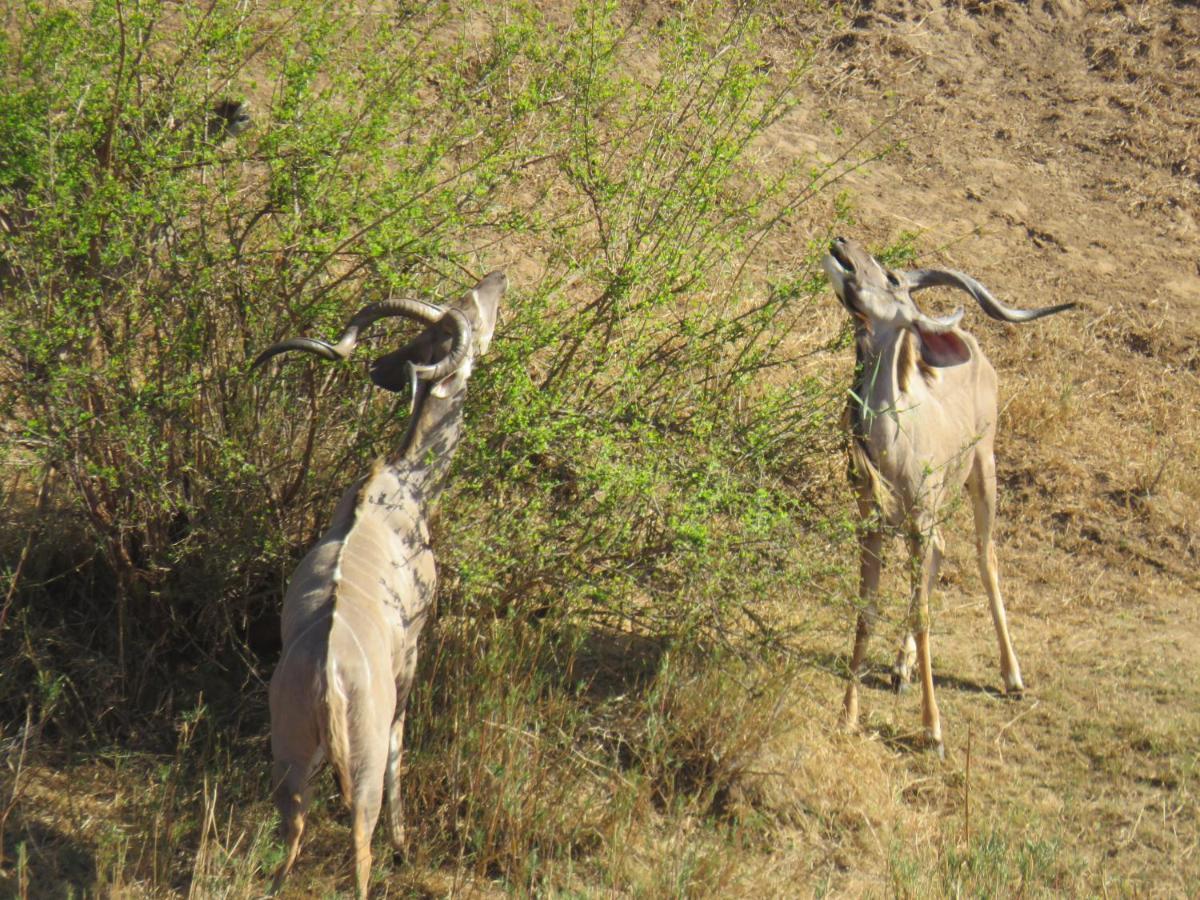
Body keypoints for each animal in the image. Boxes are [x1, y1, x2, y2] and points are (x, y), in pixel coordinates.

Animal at [256, 271, 506, 897]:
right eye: (472, 314)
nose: (498, 280)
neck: (401, 485)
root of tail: (326, 673)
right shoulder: (412, 651)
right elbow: (401, 739)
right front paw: (404, 842)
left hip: (288, 761)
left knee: (292, 833)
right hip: (359, 767)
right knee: (360, 844)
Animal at [825, 237, 1070, 753]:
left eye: (892, 278)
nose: (841, 243)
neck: (893, 443)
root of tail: (975, 350)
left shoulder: (918, 520)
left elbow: (923, 613)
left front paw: (933, 731)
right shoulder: (872, 523)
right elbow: (866, 610)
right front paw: (847, 715)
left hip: (984, 470)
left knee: (985, 557)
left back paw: (1012, 677)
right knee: (941, 553)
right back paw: (901, 668)